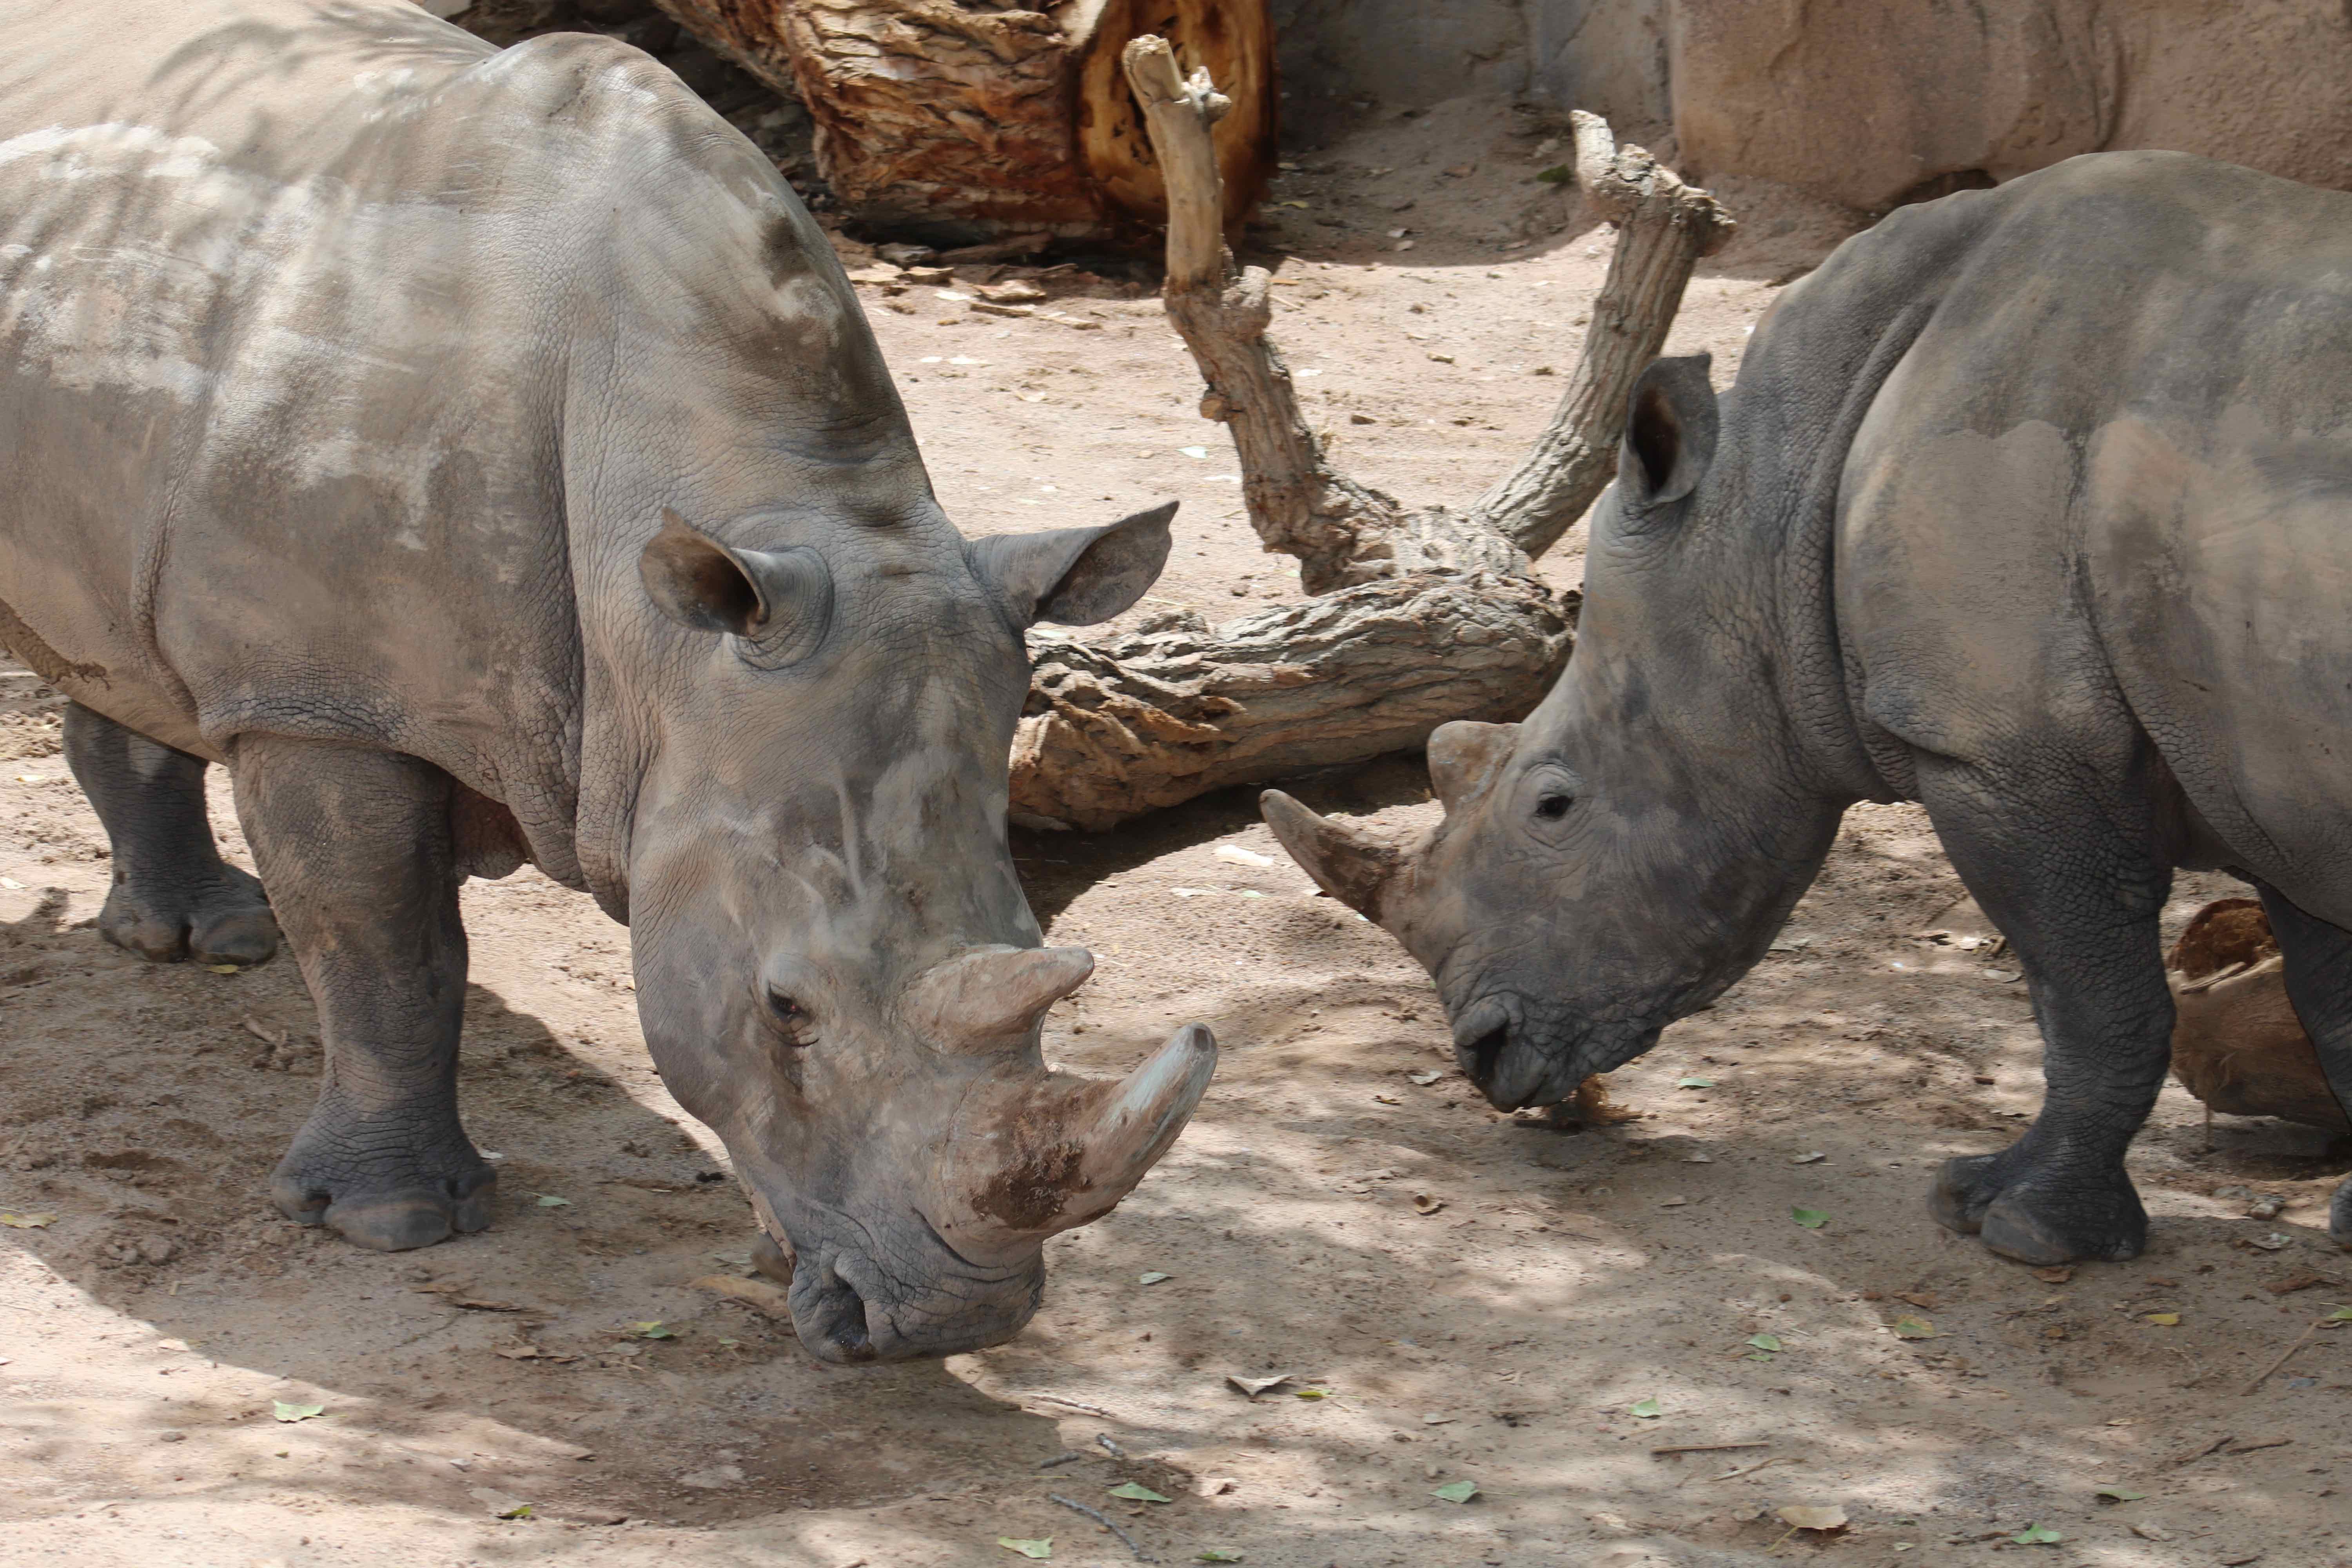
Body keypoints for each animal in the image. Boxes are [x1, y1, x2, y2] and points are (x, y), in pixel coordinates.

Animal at [0, 0, 1214, 1363]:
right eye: (785, 1009)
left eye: (1043, 953)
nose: (955, 1322)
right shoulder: (322, 705)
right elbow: (389, 950)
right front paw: (394, 1224)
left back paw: (208, 941)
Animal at [1270, 152, 2352, 1269]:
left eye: (1554, 805)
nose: (1485, 1057)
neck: (1772, 499)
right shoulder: (2267, 788)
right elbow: (2329, 1000)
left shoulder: (2007, 753)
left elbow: (2094, 999)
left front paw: (2011, 1223)